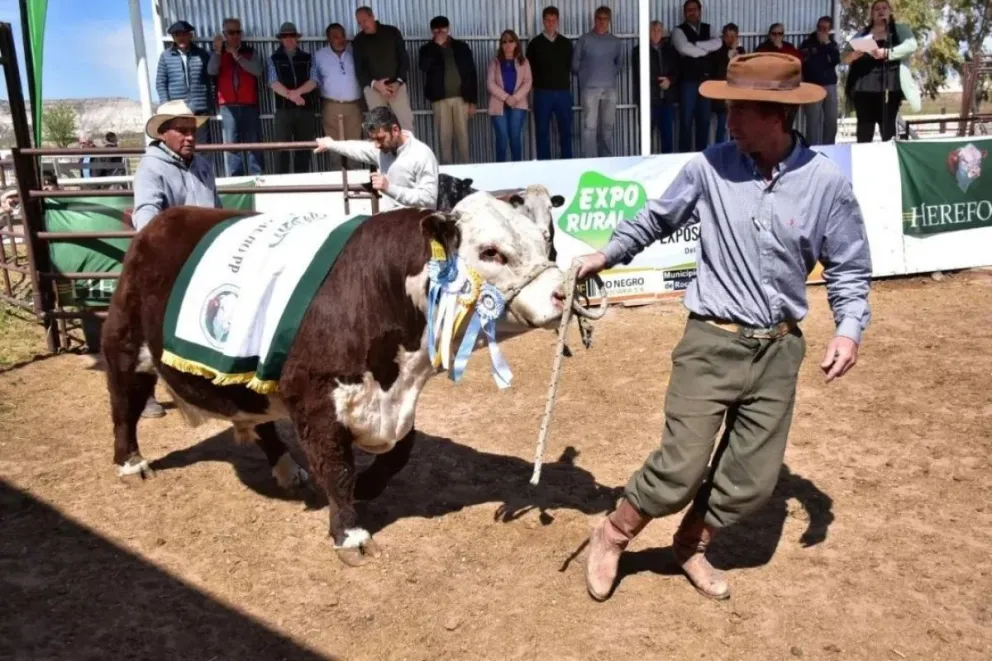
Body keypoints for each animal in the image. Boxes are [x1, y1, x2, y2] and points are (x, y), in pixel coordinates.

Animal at [100, 192, 599, 566]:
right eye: (491, 252)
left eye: (546, 241)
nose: (562, 293)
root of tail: (162, 220)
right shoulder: (315, 396)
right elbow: (336, 467)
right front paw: (351, 533)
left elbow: (399, 452)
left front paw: (368, 487)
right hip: (125, 344)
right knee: (124, 405)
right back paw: (131, 463)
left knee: (261, 422)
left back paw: (287, 470)